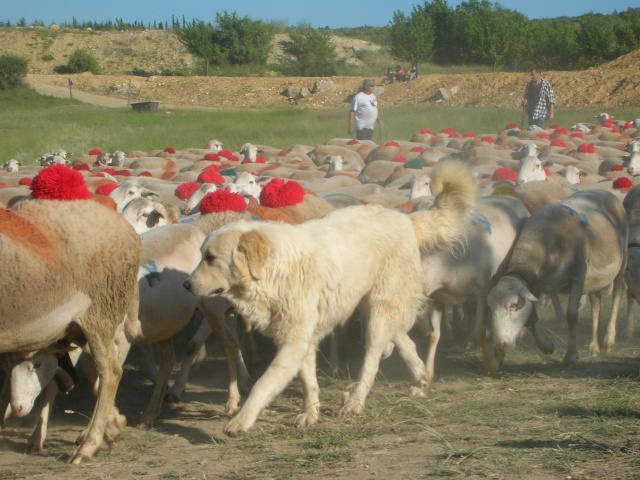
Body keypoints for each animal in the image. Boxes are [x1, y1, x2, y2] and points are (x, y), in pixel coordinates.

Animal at [0, 197, 140, 464]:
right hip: (77, 327)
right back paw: (110, 427)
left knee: (110, 372)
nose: (19, 408)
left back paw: (89, 446)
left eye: (36, 365)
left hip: (99, 313)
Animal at [484, 189, 624, 374]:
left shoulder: (578, 276)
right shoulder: (536, 283)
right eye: (491, 307)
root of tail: (602, 190)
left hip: (621, 262)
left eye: (513, 305)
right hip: (594, 277)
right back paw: (594, 346)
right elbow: (531, 317)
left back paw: (609, 339)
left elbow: (571, 315)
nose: (501, 345)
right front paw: (546, 346)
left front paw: (570, 356)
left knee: (617, 294)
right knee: (596, 301)